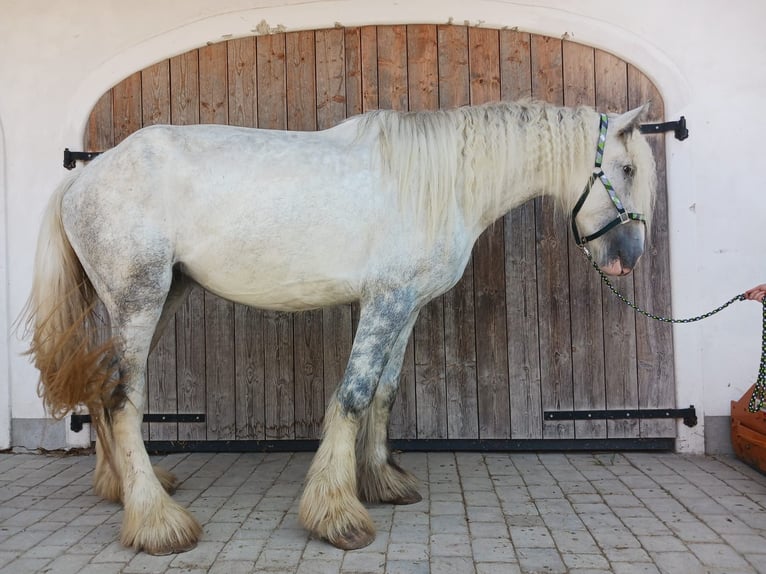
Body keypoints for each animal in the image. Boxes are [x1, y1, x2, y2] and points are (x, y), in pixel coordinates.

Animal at [24, 99, 656, 554]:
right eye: (625, 169)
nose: (629, 259)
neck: (439, 183)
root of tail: (84, 177)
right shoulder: (385, 302)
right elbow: (352, 395)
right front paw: (336, 514)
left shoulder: (404, 305)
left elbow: (383, 393)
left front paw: (381, 485)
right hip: (139, 301)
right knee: (123, 399)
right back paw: (157, 523)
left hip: (156, 302)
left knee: (104, 392)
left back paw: (122, 492)